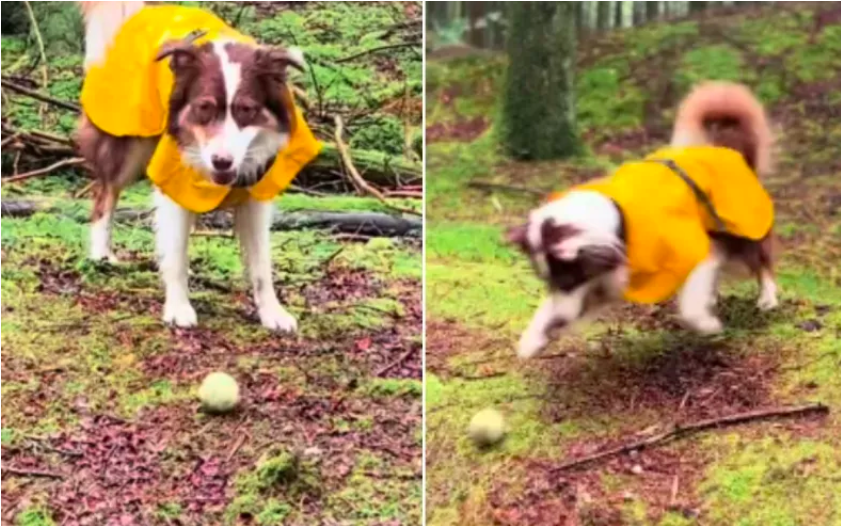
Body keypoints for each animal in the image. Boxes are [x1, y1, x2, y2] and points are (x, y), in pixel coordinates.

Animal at [74, 2, 322, 332]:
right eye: (204, 107)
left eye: (247, 110)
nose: (222, 161)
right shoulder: (173, 179)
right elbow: (176, 253)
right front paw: (178, 307)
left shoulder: (256, 192)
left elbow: (261, 264)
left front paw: (272, 312)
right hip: (128, 144)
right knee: (104, 194)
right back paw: (101, 254)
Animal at [506, 83, 776, 364]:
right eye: (549, 281)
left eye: (568, 279)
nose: (560, 320)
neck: (617, 220)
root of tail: (732, 151)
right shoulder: (604, 281)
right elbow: (548, 310)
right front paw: (532, 340)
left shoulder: (695, 250)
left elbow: (691, 305)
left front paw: (707, 325)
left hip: (742, 230)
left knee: (762, 260)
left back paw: (767, 297)